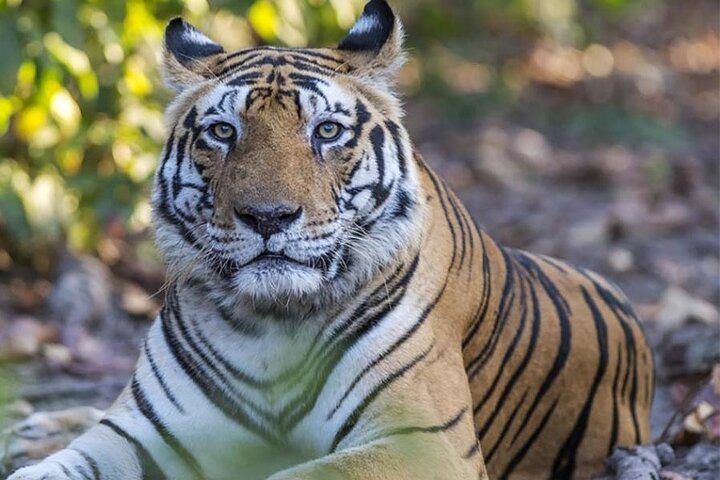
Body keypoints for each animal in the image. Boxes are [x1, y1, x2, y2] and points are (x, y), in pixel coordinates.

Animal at [9, 1, 654, 479]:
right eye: (223, 131)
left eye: (326, 131)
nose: (268, 216)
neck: (270, 324)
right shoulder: (140, 431)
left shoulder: (422, 443)